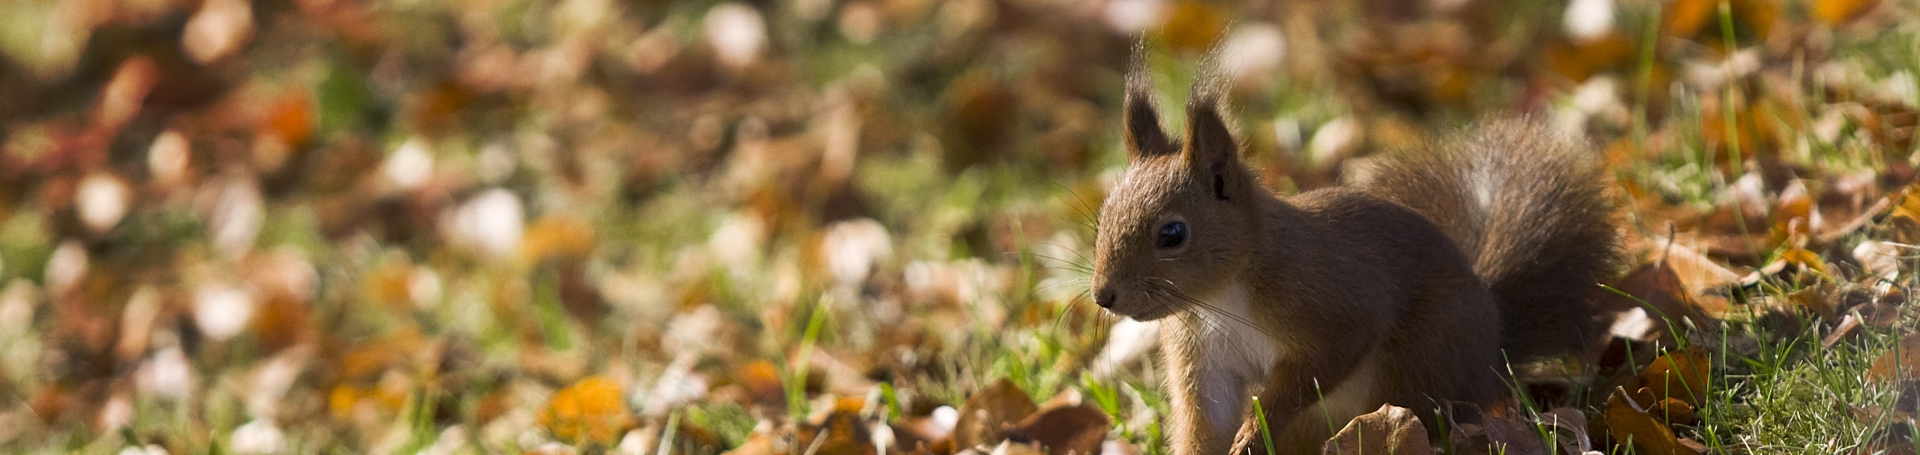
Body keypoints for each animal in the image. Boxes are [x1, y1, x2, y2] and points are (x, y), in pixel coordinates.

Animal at [1090, 64, 1612, 455]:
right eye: (1103, 215)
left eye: (1172, 234)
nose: (1103, 295)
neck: (1221, 295)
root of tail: (1494, 344)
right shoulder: (1200, 354)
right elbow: (1207, 421)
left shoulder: (1329, 301)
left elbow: (1325, 360)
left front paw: (1256, 430)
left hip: (1426, 357)